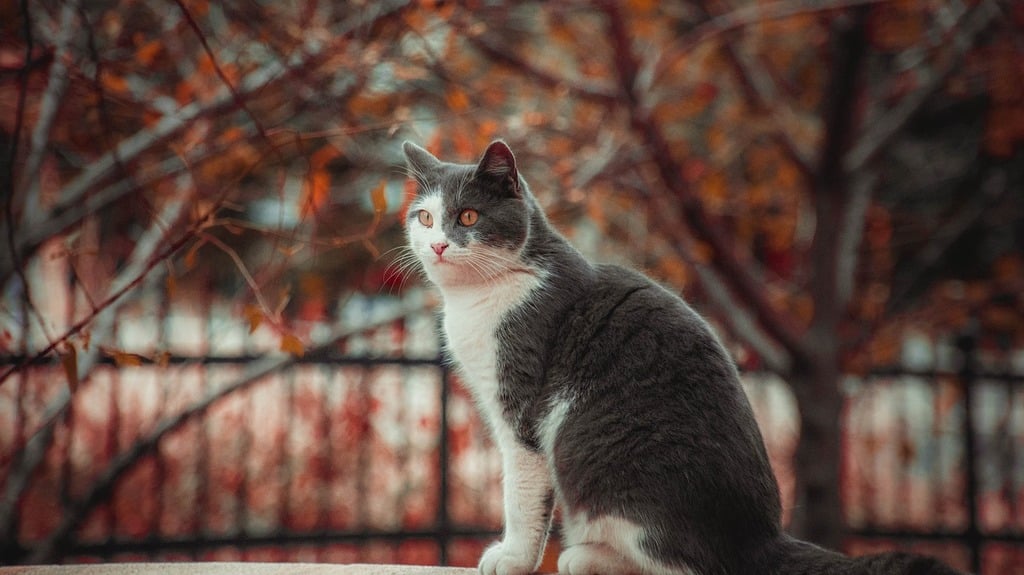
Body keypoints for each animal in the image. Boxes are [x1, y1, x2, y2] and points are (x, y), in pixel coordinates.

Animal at [401, 140, 966, 572]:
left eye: (468, 216)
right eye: (424, 217)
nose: (438, 245)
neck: (480, 296)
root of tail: (761, 539)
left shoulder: (521, 406)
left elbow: (522, 494)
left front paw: (512, 558)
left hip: (603, 459)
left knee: (686, 565)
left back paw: (586, 557)